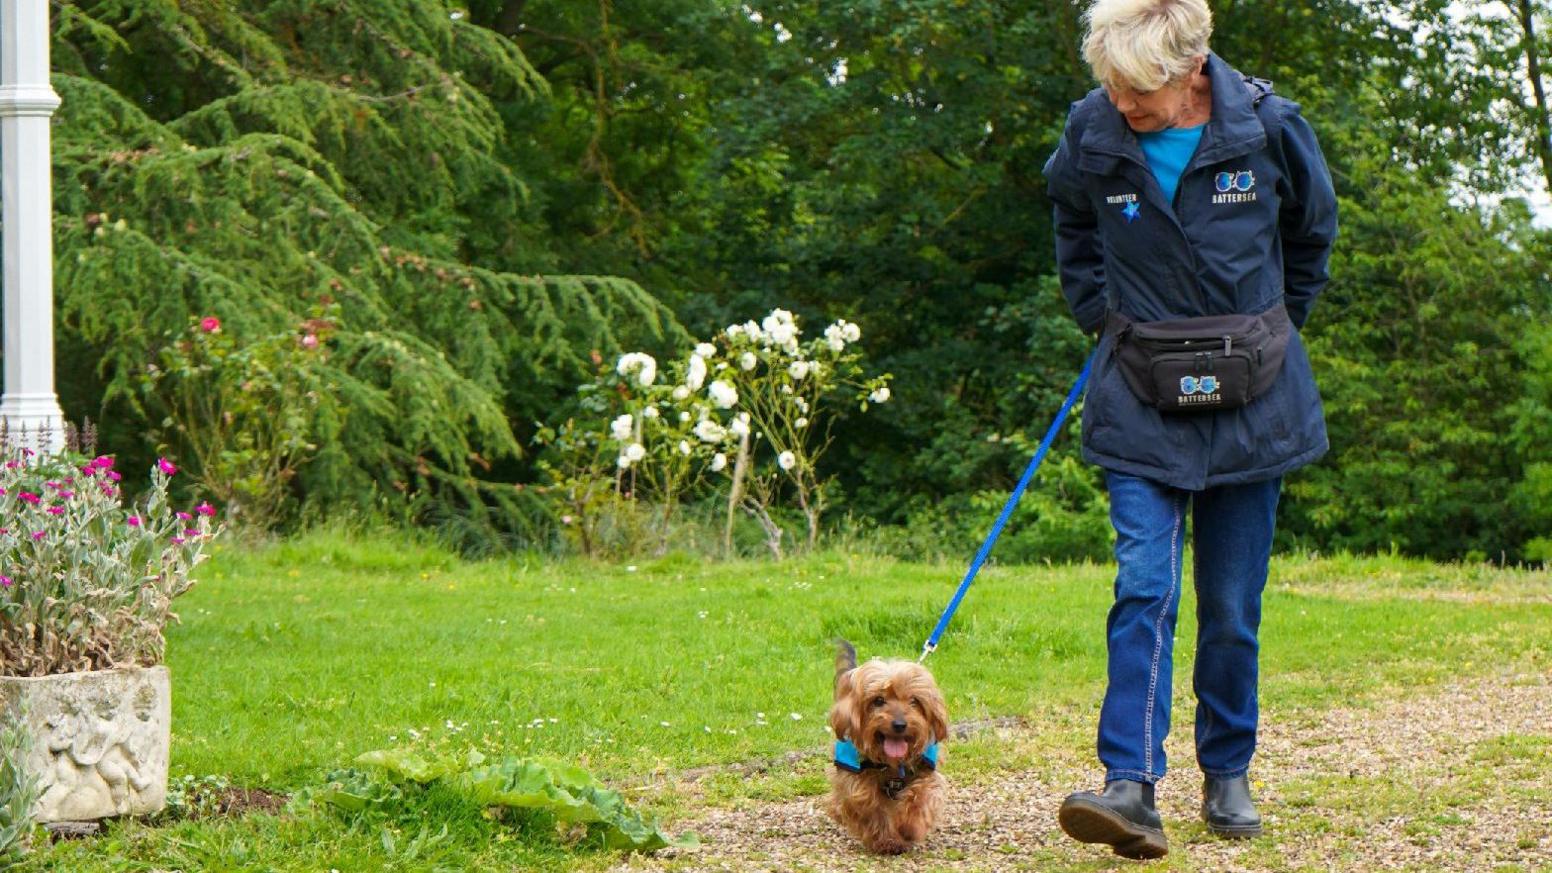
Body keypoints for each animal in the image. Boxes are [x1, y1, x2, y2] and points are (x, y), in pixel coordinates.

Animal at [825, 639, 943, 851]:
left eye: (914, 701)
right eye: (878, 700)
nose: (899, 724)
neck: (892, 763)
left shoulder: (926, 771)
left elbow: (921, 794)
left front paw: (909, 826)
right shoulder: (855, 780)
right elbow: (869, 805)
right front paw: (887, 841)